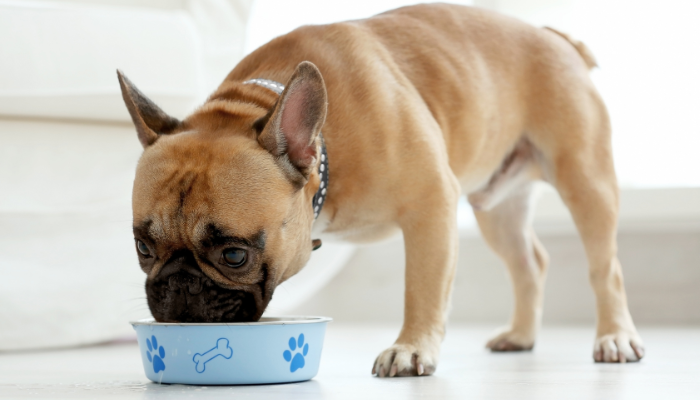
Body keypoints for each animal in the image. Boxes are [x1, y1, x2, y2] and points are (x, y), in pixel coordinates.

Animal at [117, 3, 644, 378]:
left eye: (234, 255)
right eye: (142, 248)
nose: (178, 285)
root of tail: (557, 39)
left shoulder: (432, 205)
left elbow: (423, 288)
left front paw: (410, 349)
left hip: (586, 180)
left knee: (607, 268)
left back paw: (615, 337)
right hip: (497, 209)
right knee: (530, 263)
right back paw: (520, 335)